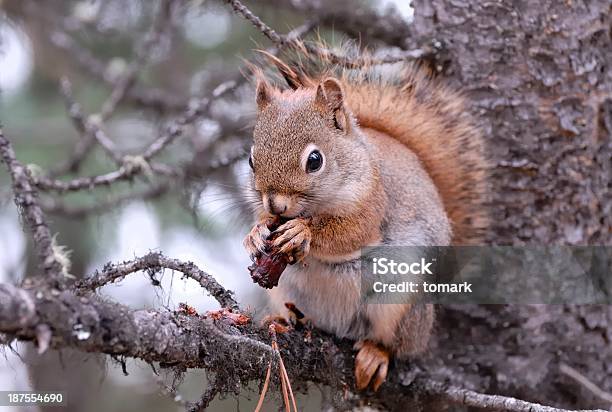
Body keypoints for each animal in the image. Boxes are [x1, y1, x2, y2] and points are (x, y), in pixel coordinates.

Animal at [244, 44, 488, 390]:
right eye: (251, 160)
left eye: (315, 160)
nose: (276, 206)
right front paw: (255, 233)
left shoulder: (375, 202)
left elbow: (351, 233)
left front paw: (302, 233)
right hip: (284, 293)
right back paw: (283, 319)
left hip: (400, 303)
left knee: (397, 343)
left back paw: (376, 355)